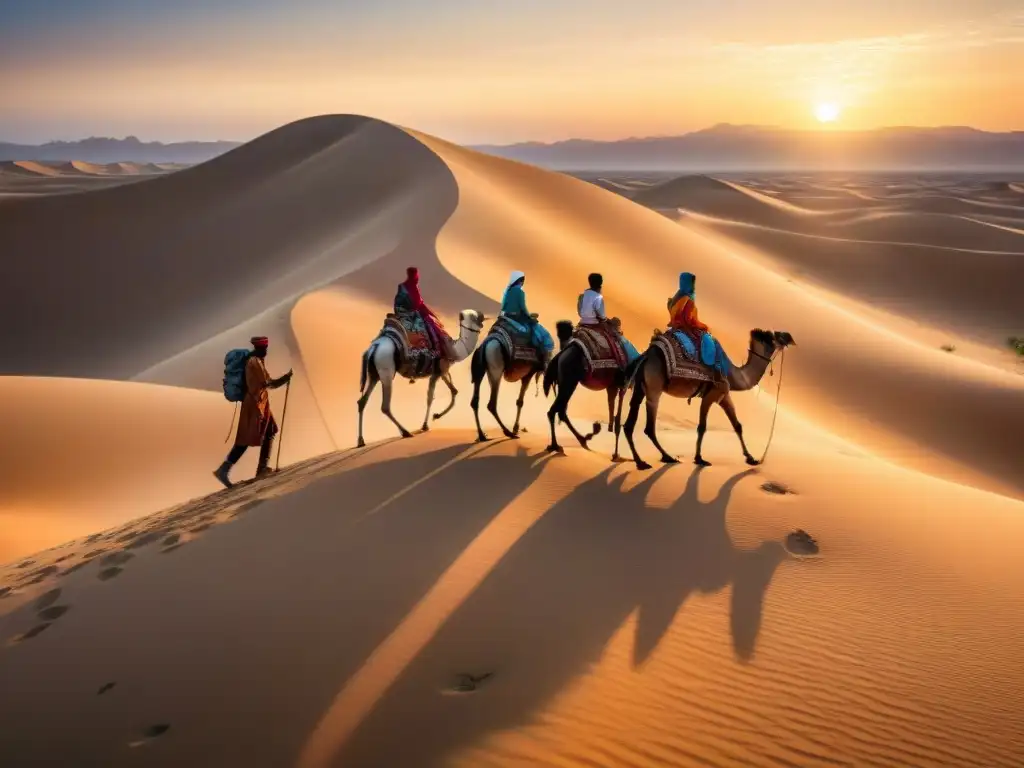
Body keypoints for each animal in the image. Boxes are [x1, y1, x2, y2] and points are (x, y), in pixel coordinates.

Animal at [358, 309, 485, 448]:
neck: (456, 349)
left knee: (362, 401)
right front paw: (426, 424)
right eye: (477, 317)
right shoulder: (439, 371)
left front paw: (435, 416)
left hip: (374, 374)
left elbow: (452, 391)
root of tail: (374, 347)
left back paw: (361, 441)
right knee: (385, 406)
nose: (484, 319)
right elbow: (431, 398)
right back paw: (405, 432)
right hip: (386, 370)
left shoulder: (440, 371)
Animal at [618, 329, 794, 473]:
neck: (733, 374)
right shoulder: (711, 394)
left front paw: (751, 458)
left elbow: (737, 425)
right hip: (654, 388)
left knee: (629, 424)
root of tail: (646, 356)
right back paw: (667, 457)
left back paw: (641, 462)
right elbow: (702, 427)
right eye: (774, 336)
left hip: (640, 386)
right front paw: (699, 459)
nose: (789, 337)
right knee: (649, 427)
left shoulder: (723, 396)